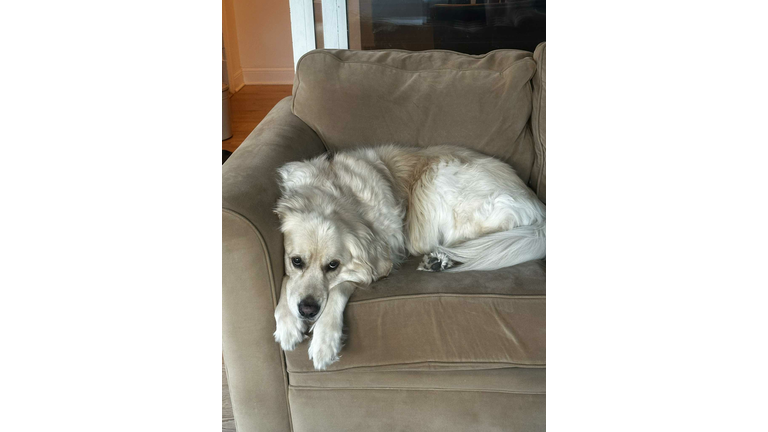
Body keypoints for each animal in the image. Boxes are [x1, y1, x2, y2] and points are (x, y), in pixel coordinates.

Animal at [273, 145, 546, 369]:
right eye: (296, 261)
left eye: (333, 265)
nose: (307, 310)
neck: (334, 192)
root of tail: (536, 205)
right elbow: (287, 282)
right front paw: (287, 324)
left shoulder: (381, 260)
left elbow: (341, 287)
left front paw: (324, 341)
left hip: (443, 188)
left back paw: (441, 258)